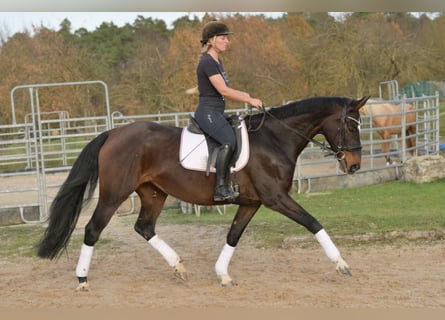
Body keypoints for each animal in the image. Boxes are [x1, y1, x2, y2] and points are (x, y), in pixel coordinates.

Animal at [36, 95, 368, 290]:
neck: (274, 139)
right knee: (93, 229)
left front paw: (222, 274)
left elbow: (233, 235)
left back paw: (179, 268)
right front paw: (342, 264)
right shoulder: (276, 199)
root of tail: (113, 133)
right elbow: (313, 223)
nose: (354, 165)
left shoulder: (251, 203)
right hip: (114, 195)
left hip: (153, 193)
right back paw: (82, 279)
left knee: (144, 227)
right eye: (351, 126)